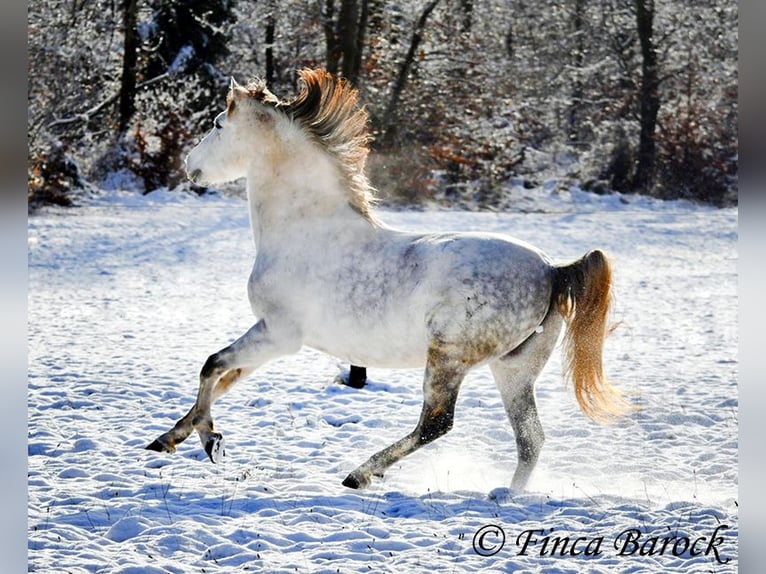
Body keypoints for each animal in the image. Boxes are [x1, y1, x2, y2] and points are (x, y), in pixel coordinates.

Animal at [147, 67, 632, 490]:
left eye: (216, 124)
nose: (190, 165)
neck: (303, 229)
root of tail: (552, 269)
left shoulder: (279, 335)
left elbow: (213, 366)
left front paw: (211, 442)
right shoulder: (269, 337)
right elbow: (225, 379)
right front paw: (169, 439)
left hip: (448, 359)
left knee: (436, 423)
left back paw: (360, 474)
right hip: (513, 369)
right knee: (530, 439)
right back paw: (505, 496)